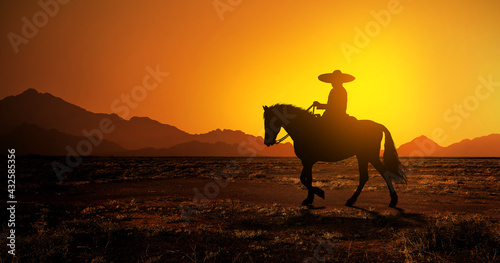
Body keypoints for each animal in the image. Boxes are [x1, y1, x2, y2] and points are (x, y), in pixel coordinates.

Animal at [262, 104, 406, 209]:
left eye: (271, 120)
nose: (267, 142)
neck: (304, 128)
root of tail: (378, 125)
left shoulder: (308, 161)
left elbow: (304, 179)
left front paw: (318, 193)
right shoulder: (307, 161)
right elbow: (307, 178)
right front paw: (310, 198)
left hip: (369, 155)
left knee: (384, 173)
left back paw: (392, 200)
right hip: (363, 156)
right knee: (366, 177)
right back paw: (352, 200)